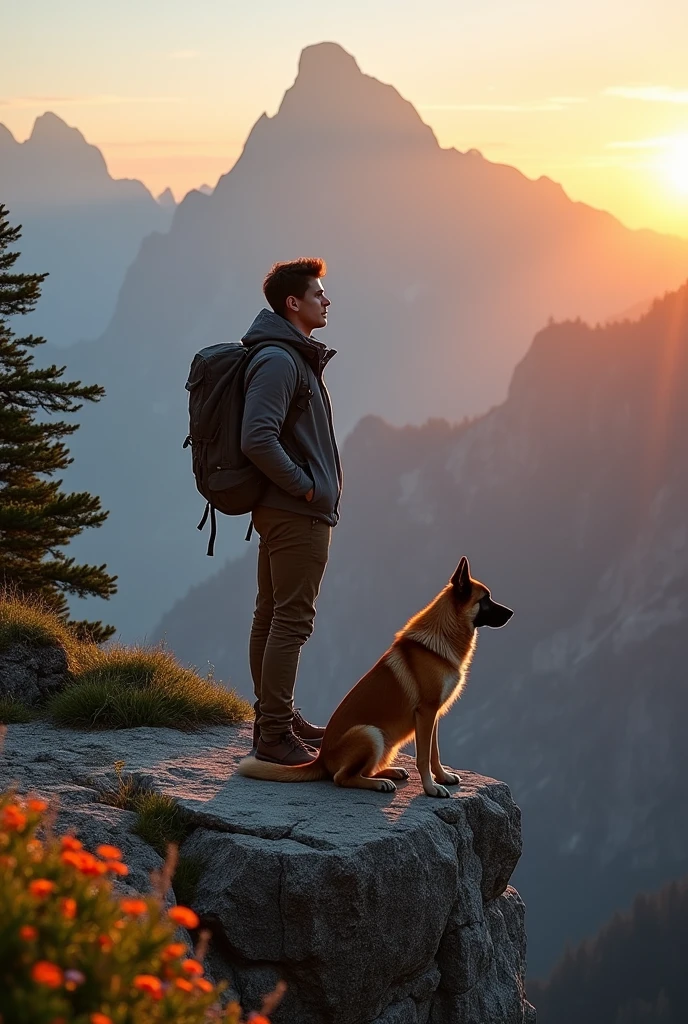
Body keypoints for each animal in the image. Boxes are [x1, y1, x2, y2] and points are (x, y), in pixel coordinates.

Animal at [239, 557, 513, 794]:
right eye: (486, 599)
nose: (512, 613)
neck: (441, 637)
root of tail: (321, 758)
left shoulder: (434, 715)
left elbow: (434, 753)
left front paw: (442, 777)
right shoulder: (426, 713)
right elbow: (424, 756)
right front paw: (430, 788)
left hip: (382, 742)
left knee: (363, 771)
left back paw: (389, 772)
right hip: (370, 734)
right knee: (342, 777)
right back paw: (379, 783)